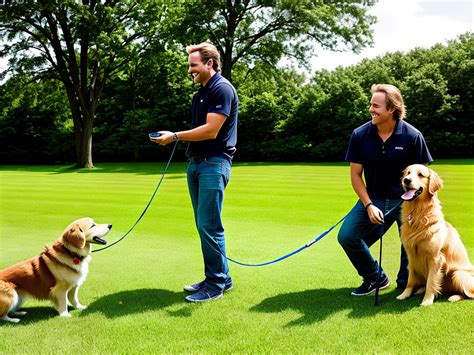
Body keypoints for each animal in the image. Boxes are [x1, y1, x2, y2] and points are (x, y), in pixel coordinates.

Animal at [398, 165, 472, 306]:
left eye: (420, 174)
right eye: (407, 173)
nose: (406, 180)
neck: (418, 213)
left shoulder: (435, 258)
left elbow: (431, 282)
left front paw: (427, 300)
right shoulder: (412, 257)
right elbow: (410, 280)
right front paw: (404, 294)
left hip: (457, 274)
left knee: (469, 294)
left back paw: (454, 297)